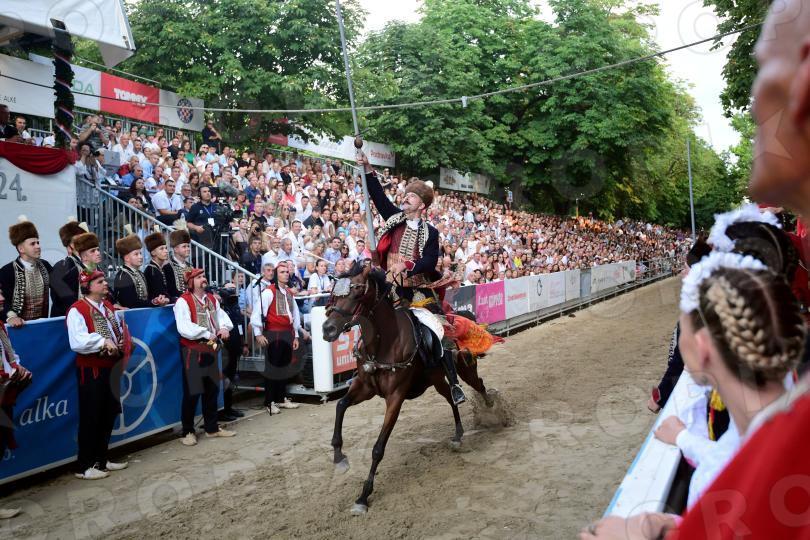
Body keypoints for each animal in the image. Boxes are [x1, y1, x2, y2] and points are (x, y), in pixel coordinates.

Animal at [321, 260, 495, 515]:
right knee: (450, 397)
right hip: (437, 380)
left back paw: (492, 409)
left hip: (465, 367)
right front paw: (339, 457)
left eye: (357, 290)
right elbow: (340, 405)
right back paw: (458, 434)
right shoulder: (365, 387)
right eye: (334, 293)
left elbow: (378, 448)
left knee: (478, 385)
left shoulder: (395, 397)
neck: (384, 343)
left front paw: (363, 496)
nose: (328, 329)